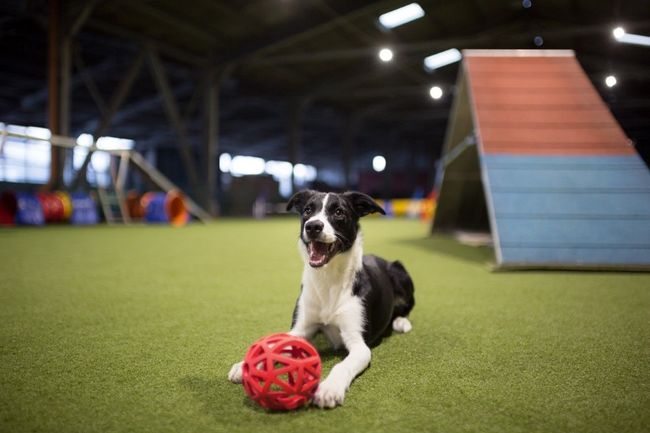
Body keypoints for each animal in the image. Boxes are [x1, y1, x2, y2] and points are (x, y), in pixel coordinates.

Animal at [225, 190, 412, 408]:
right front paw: (245, 365)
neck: (328, 279)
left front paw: (329, 388)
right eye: (307, 210)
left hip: (400, 271)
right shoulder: (300, 329)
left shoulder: (359, 344)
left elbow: (342, 365)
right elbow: (276, 344)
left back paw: (401, 322)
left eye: (339, 212)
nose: (313, 226)